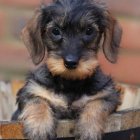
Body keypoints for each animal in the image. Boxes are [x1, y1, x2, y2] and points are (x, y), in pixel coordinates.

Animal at [12, 0, 122, 139]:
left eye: (89, 30)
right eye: (55, 31)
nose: (70, 62)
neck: (70, 82)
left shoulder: (107, 95)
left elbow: (96, 104)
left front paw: (89, 129)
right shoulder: (31, 90)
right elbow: (38, 101)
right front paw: (39, 127)